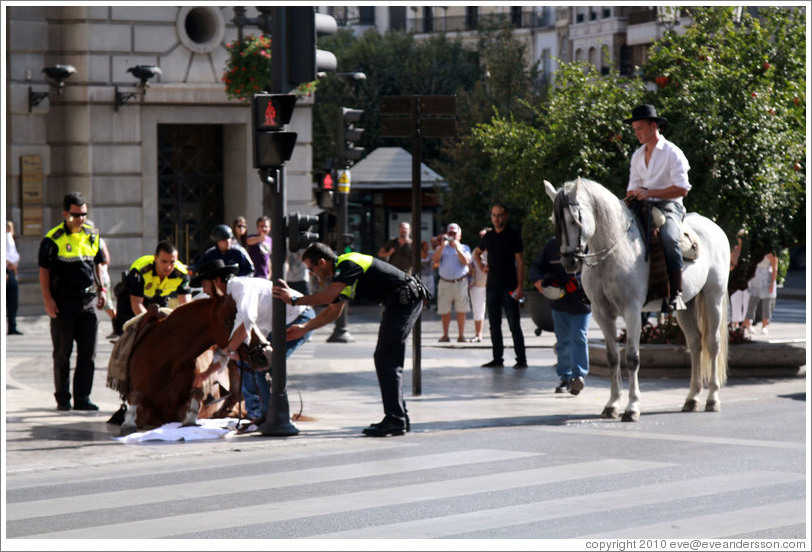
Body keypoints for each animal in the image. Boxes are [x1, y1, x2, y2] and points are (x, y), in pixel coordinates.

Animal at [544, 179, 728, 420]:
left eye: (576, 218)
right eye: (554, 220)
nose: (569, 262)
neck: (613, 252)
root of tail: (715, 227)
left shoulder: (632, 311)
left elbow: (632, 358)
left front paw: (632, 408)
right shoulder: (602, 313)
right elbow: (613, 357)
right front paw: (612, 404)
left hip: (714, 296)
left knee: (712, 344)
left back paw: (713, 399)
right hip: (687, 306)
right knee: (696, 344)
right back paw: (692, 398)